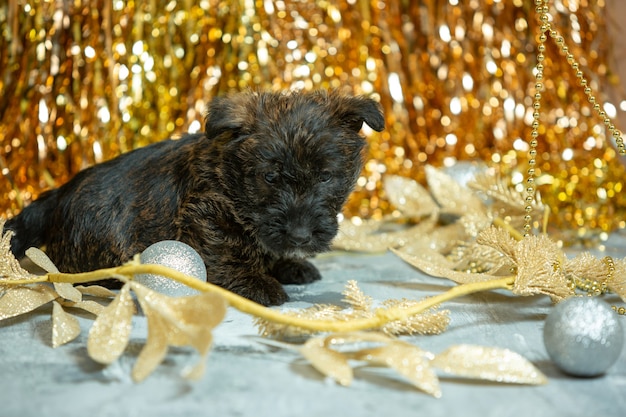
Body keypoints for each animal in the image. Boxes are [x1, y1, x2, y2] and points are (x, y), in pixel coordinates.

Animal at [7, 89, 382, 304]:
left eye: (326, 176)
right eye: (269, 177)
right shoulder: (207, 216)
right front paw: (255, 283)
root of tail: (57, 196)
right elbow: (229, 251)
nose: (301, 236)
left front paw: (288, 264)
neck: (231, 175)